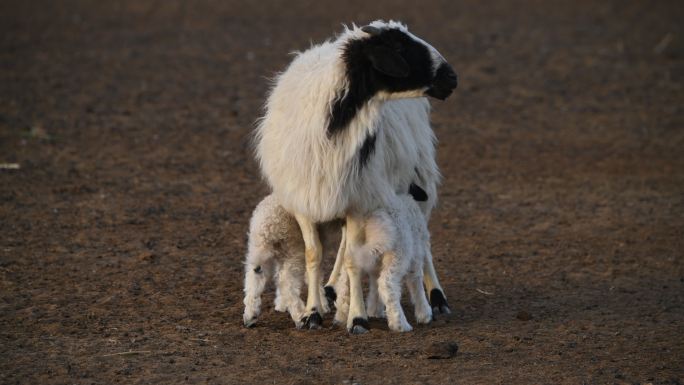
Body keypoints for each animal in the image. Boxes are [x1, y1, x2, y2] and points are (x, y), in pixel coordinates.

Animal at [254, 20, 456, 332]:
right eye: (399, 46)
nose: (451, 77)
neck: (337, 120)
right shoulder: (307, 200)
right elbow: (314, 255)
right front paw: (313, 312)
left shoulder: (359, 199)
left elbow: (352, 258)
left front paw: (357, 317)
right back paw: (331, 290)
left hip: (419, 177)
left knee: (423, 240)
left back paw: (436, 298)